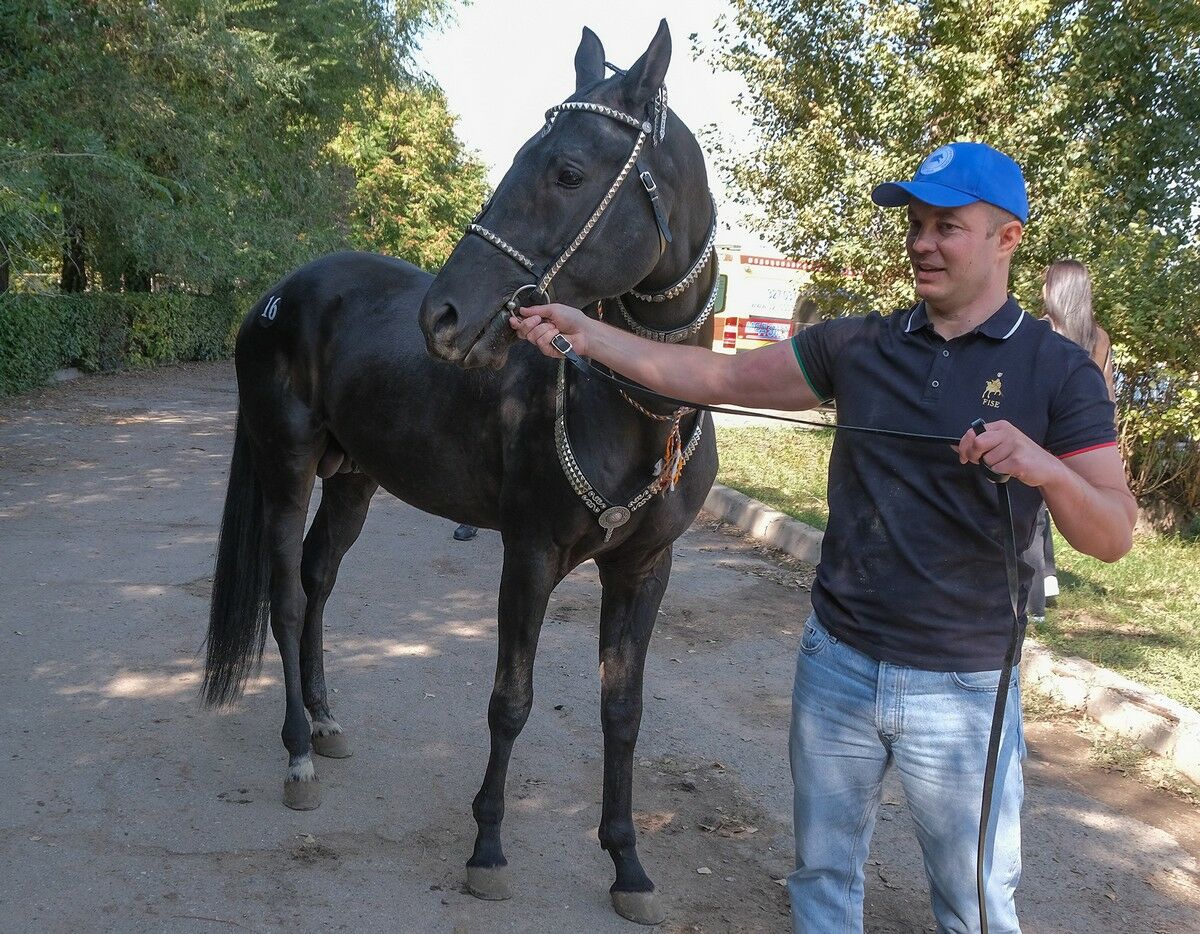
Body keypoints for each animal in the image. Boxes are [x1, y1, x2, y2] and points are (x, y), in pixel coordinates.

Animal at [202, 21, 718, 925]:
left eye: (568, 171)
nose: (442, 316)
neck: (630, 405)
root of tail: (278, 295)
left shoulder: (643, 570)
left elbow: (623, 711)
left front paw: (628, 866)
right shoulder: (531, 556)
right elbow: (510, 702)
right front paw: (487, 849)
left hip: (353, 480)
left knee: (319, 579)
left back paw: (328, 723)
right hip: (287, 467)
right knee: (287, 592)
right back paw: (298, 753)